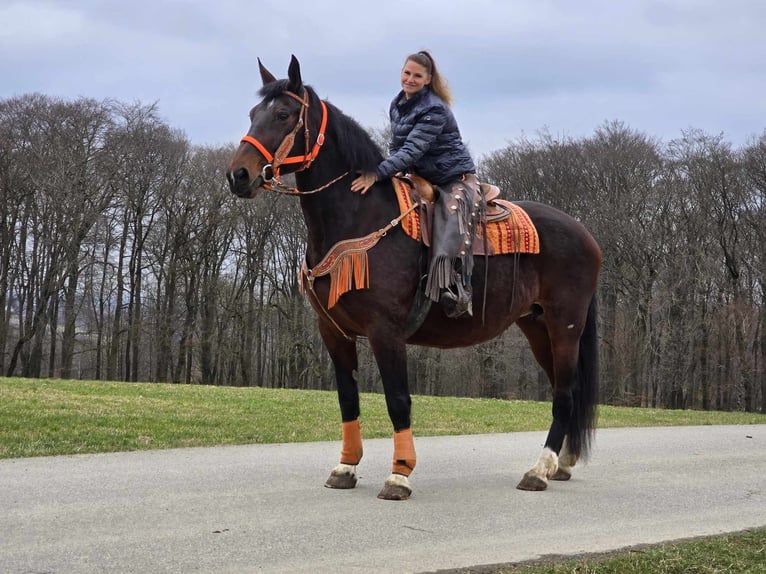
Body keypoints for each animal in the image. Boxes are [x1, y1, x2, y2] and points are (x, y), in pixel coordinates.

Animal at [225, 56, 604, 502]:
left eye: (283, 114)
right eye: (254, 113)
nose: (239, 175)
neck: (358, 216)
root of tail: (585, 233)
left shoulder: (385, 331)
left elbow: (398, 399)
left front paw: (399, 475)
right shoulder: (333, 331)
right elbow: (348, 400)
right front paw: (345, 467)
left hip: (565, 325)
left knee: (564, 394)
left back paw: (539, 470)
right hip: (537, 326)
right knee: (567, 389)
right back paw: (562, 463)